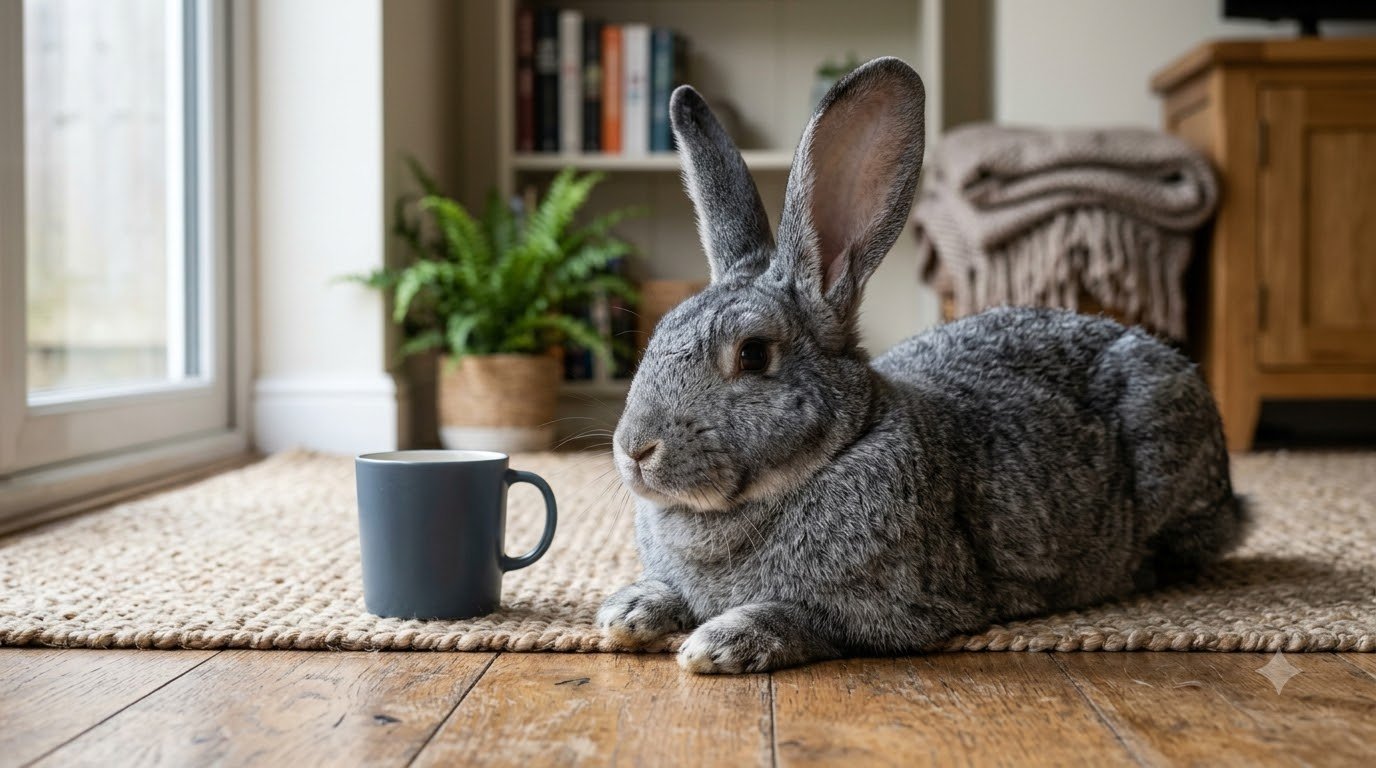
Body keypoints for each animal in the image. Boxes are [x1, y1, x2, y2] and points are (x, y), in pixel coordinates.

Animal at [596, 57, 1249, 674]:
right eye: (660, 330)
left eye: (753, 353)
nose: (634, 449)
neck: (836, 448)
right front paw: (626, 613)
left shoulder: (893, 609)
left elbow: (804, 618)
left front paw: (719, 643)